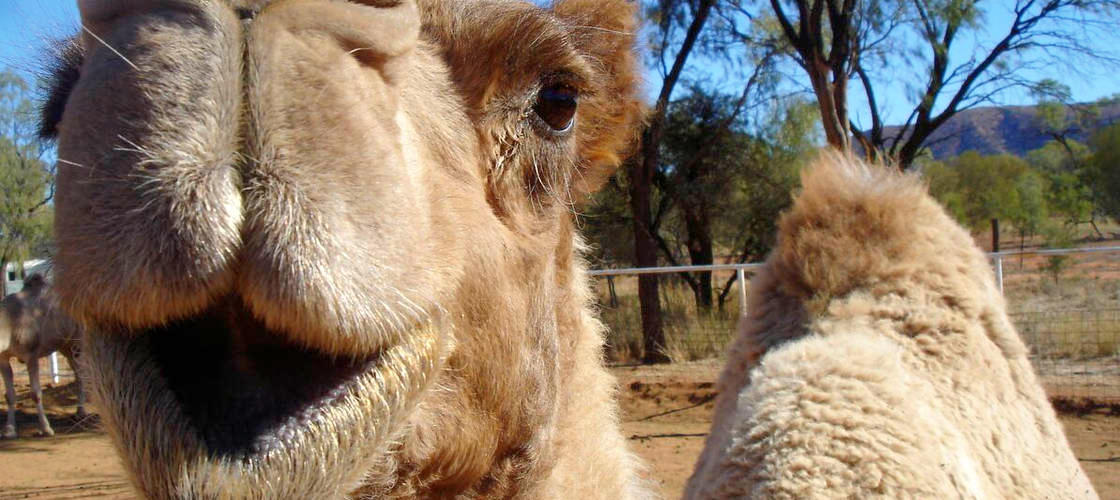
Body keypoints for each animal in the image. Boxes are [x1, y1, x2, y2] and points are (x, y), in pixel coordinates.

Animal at [0, 274, 87, 438]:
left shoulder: (31, 355)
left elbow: (36, 393)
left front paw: (46, 429)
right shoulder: (3, 359)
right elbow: (9, 395)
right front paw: (9, 430)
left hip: (78, 341)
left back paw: (82, 412)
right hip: (65, 346)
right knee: (77, 373)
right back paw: (79, 412)